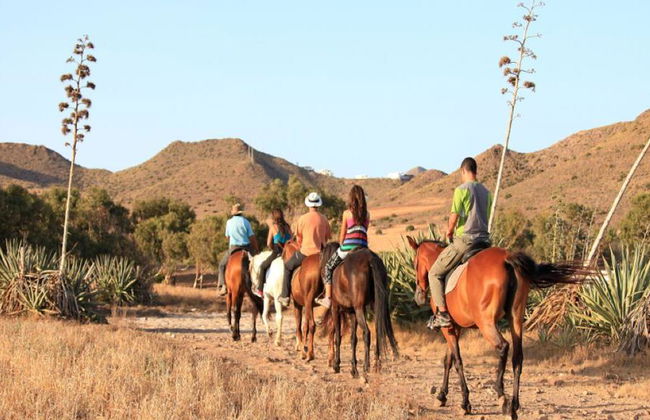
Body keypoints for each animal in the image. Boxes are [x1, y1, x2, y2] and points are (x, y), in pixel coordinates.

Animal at [320, 243, 399, 378]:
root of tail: (370, 259)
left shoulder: (336, 309)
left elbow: (338, 337)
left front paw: (337, 365)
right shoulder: (352, 313)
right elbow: (353, 339)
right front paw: (353, 369)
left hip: (359, 309)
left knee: (367, 333)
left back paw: (366, 366)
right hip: (374, 306)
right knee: (378, 330)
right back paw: (376, 365)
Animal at [406, 237, 585, 420]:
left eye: (415, 263)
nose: (419, 297)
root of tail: (507, 259)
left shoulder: (448, 328)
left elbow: (457, 361)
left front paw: (465, 403)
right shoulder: (454, 327)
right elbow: (448, 360)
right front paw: (442, 396)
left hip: (486, 323)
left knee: (503, 346)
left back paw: (501, 395)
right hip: (515, 319)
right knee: (517, 357)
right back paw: (513, 405)